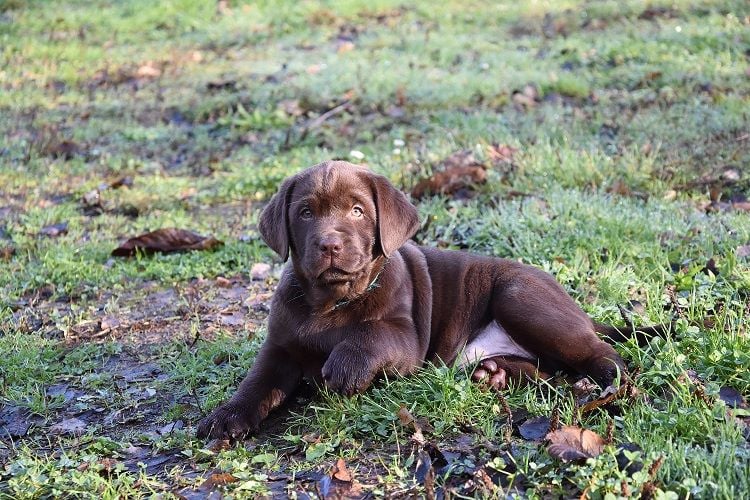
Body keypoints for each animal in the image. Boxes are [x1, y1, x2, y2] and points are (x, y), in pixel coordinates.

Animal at [197, 160, 659, 439]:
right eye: (306, 213)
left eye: (358, 211)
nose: (329, 244)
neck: (332, 301)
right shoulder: (278, 349)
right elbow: (256, 384)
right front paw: (226, 416)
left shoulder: (406, 342)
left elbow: (371, 335)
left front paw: (346, 365)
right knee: (548, 372)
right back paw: (497, 375)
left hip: (520, 299)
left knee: (601, 353)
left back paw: (606, 385)